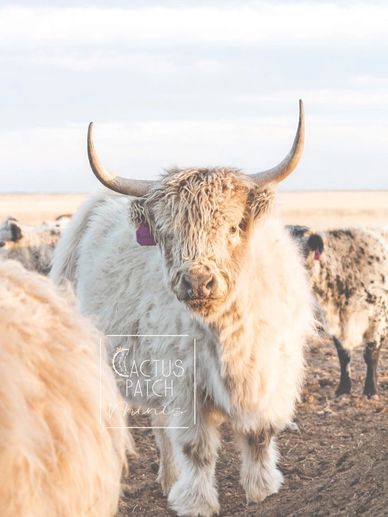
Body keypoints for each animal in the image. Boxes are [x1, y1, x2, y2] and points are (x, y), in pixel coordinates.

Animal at [51, 102, 314, 516]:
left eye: (234, 227)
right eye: (165, 233)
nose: (197, 281)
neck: (227, 332)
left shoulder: (272, 375)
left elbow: (259, 434)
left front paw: (262, 490)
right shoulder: (185, 383)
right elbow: (197, 447)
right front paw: (197, 503)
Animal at [290, 224, 386, 398]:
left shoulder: (378, 317)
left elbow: (371, 355)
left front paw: (371, 390)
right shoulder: (333, 320)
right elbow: (343, 355)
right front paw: (343, 388)